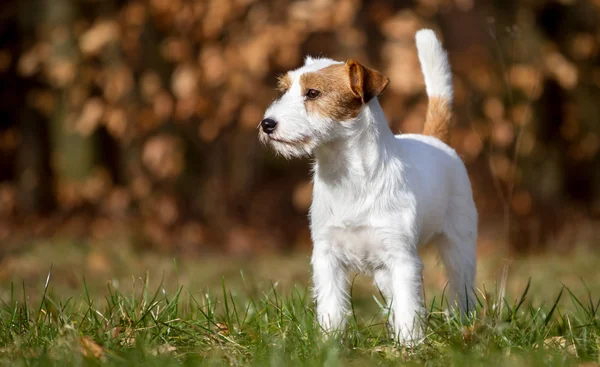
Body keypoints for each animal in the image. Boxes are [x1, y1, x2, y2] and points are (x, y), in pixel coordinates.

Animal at [258, 28, 478, 344]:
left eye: (313, 93)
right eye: (283, 90)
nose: (267, 124)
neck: (348, 176)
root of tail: (436, 140)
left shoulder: (403, 260)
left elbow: (410, 308)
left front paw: (409, 346)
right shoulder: (327, 257)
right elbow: (331, 306)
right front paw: (329, 343)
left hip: (458, 246)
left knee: (462, 289)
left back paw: (464, 326)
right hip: (384, 272)